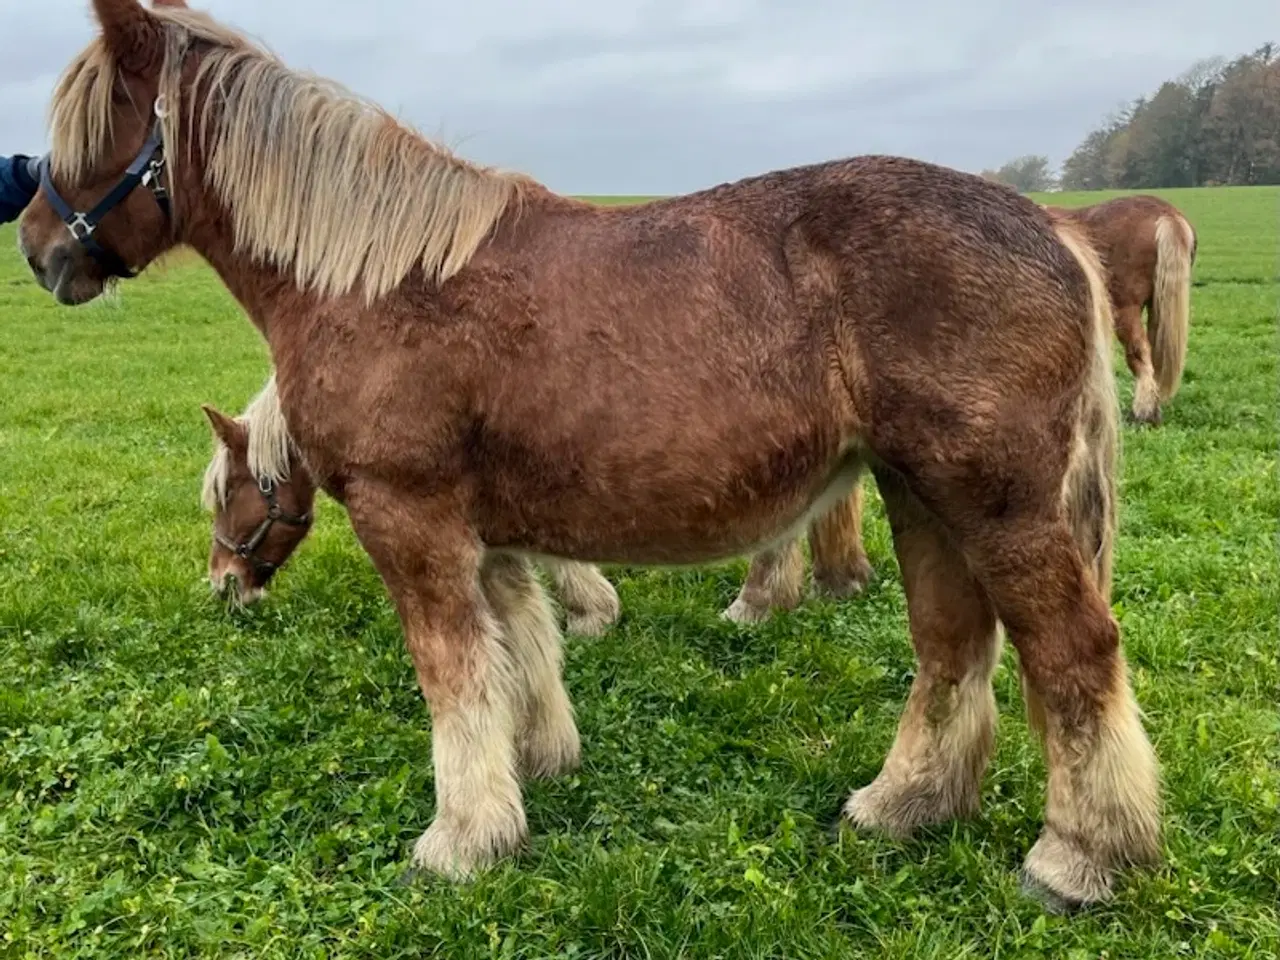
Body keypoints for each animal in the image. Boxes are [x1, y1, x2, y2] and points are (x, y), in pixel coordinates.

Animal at [17, 0, 1162, 911]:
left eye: (89, 125)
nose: (35, 248)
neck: (377, 281)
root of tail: (1056, 230)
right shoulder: (485, 532)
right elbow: (520, 647)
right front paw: (536, 768)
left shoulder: (408, 518)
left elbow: (452, 673)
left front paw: (461, 838)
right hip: (921, 495)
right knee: (951, 647)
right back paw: (903, 805)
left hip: (997, 506)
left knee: (1072, 654)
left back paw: (1078, 857)